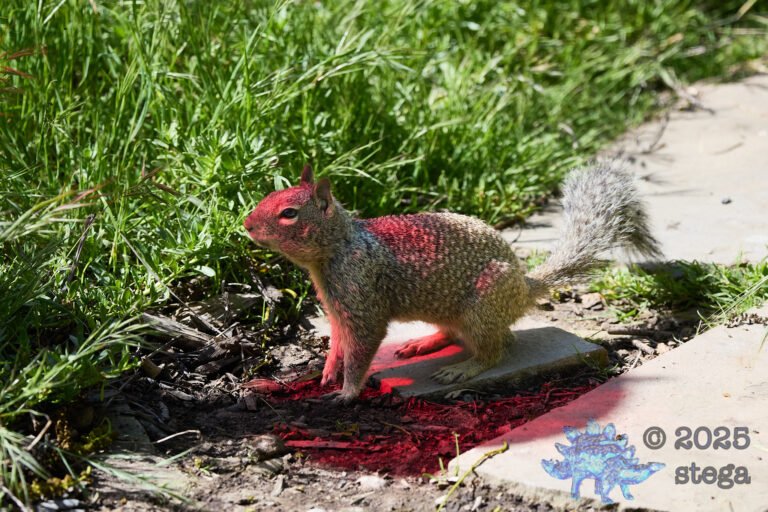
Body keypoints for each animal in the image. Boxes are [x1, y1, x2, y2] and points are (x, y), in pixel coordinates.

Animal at [244, 161, 660, 402]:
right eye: (270, 193)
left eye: (289, 213)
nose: (246, 225)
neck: (337, 249)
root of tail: (523, 289)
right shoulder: (336, 308)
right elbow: (338, 342)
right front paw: (329, 370)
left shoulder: (362, 299)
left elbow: (362, 348)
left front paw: (346, 393)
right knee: (453, 333)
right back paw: (424, 343)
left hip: (481, 309)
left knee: (496, 349)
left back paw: (462, 368)